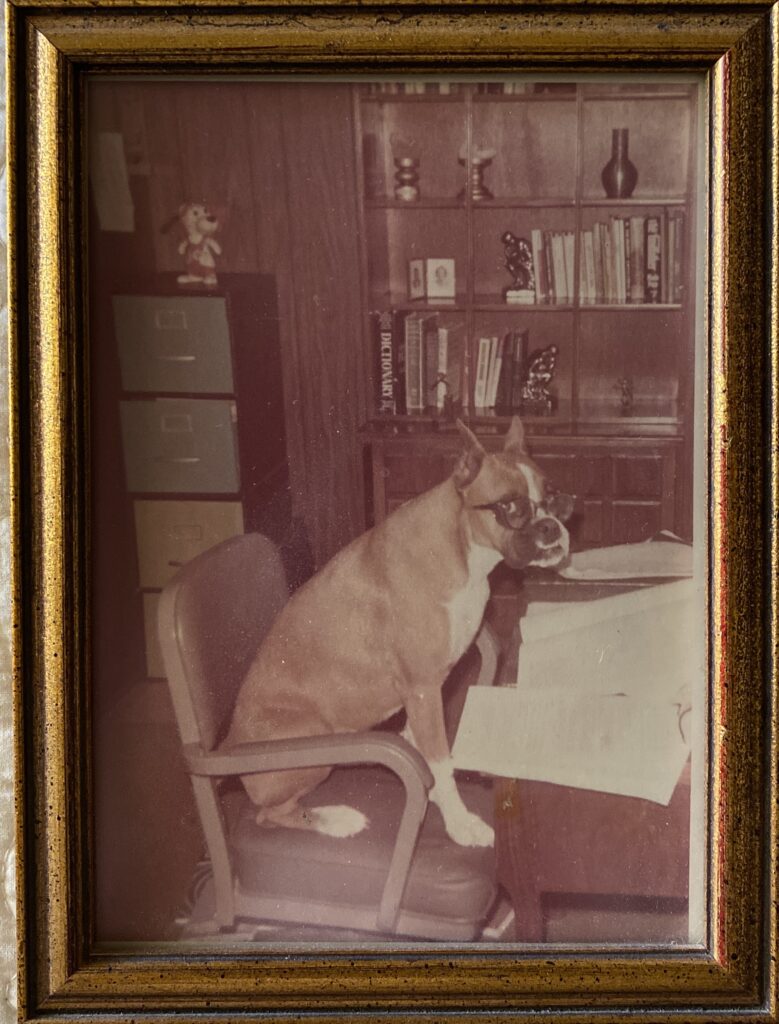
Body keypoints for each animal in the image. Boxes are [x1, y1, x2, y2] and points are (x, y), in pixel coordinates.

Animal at [225, 415, 573, 847]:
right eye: (511, 506)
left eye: (555, 499)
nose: (551, 527)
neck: (462, 545)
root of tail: (230, 747)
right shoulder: (423, 689)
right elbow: (439, 760)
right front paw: (460, 823)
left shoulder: (424, 694)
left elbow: (432, 756)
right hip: (309, 746)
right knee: (269, 815)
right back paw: (336, 819)